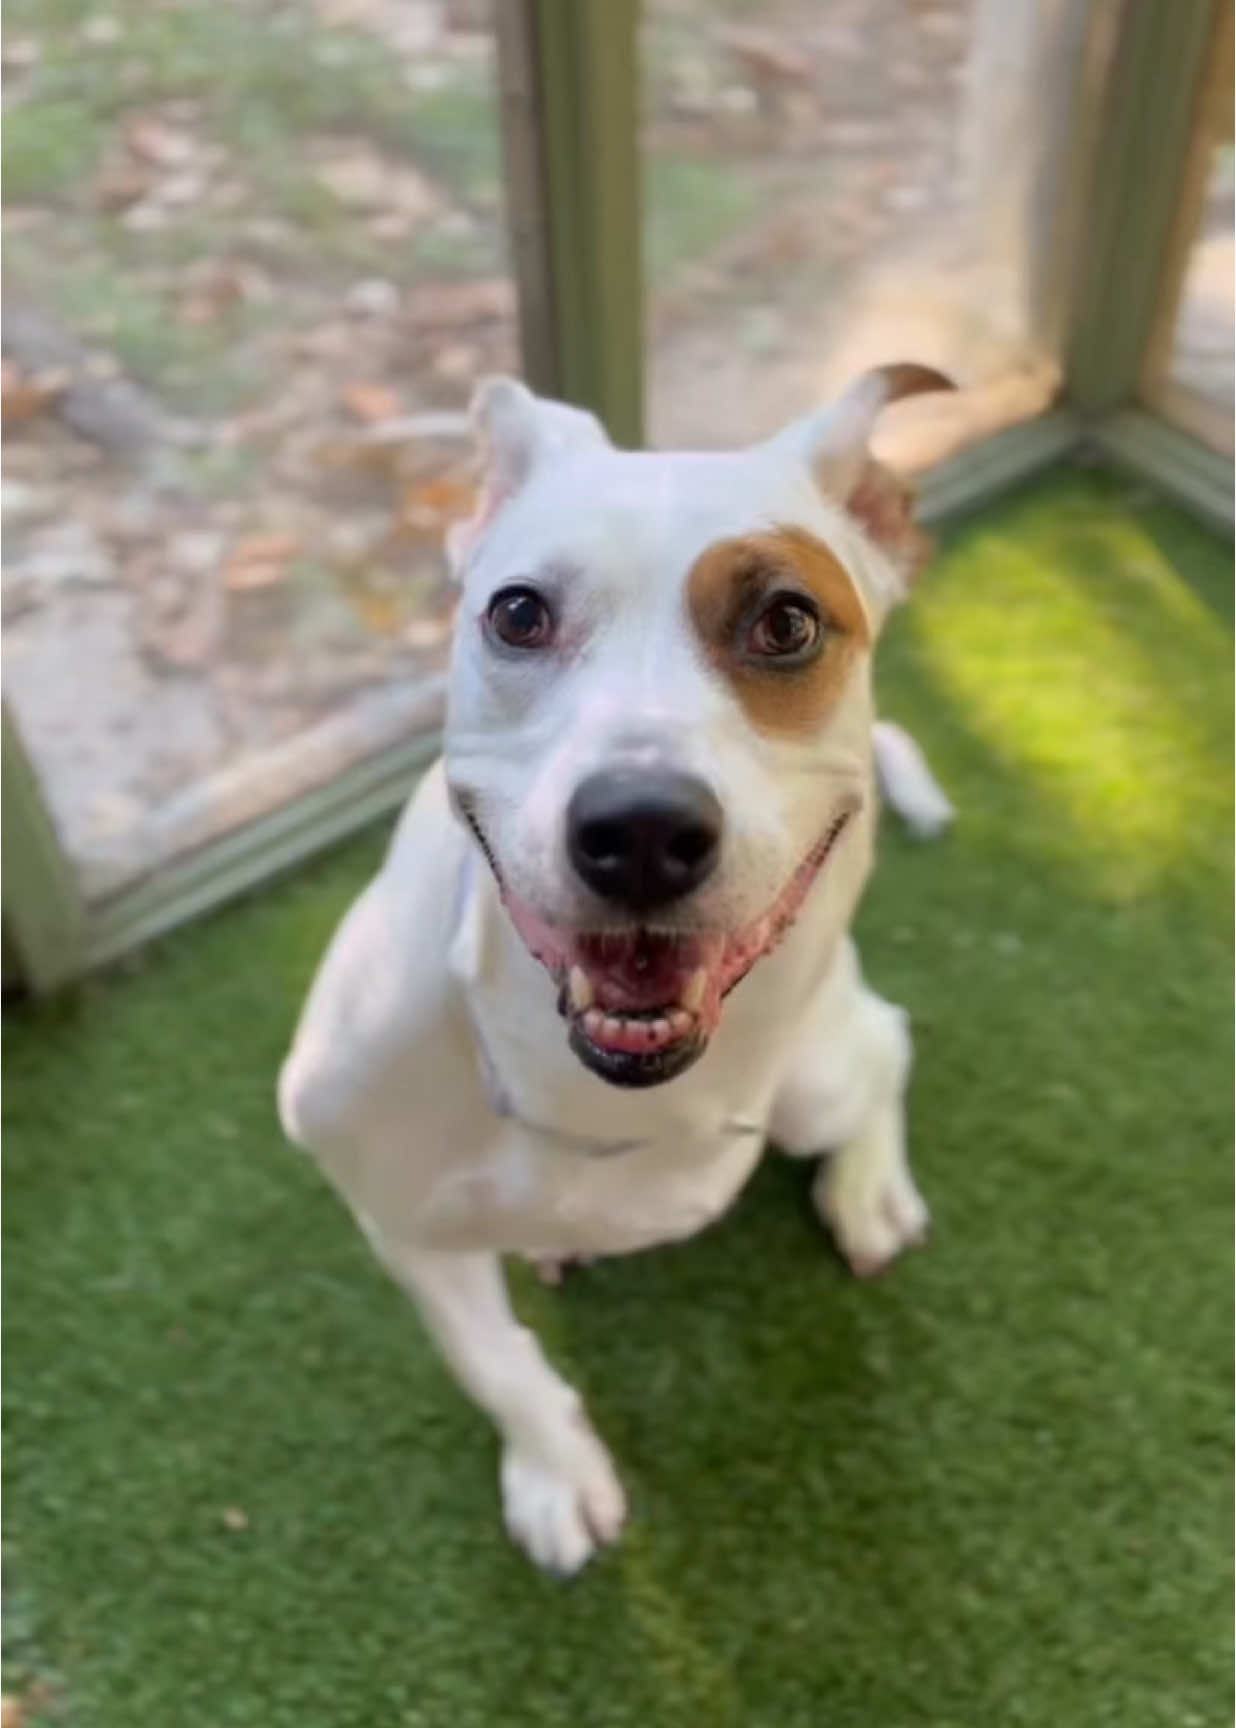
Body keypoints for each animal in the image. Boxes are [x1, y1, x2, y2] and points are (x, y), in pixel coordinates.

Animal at [280, 368, 954, 1582]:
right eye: (517, 613)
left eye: (788, 620)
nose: (639, 831)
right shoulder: (400, 1222)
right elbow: (495, 1365)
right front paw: (556, 1474)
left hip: (818, 1073)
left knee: (887, 1042)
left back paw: (867, 1188)